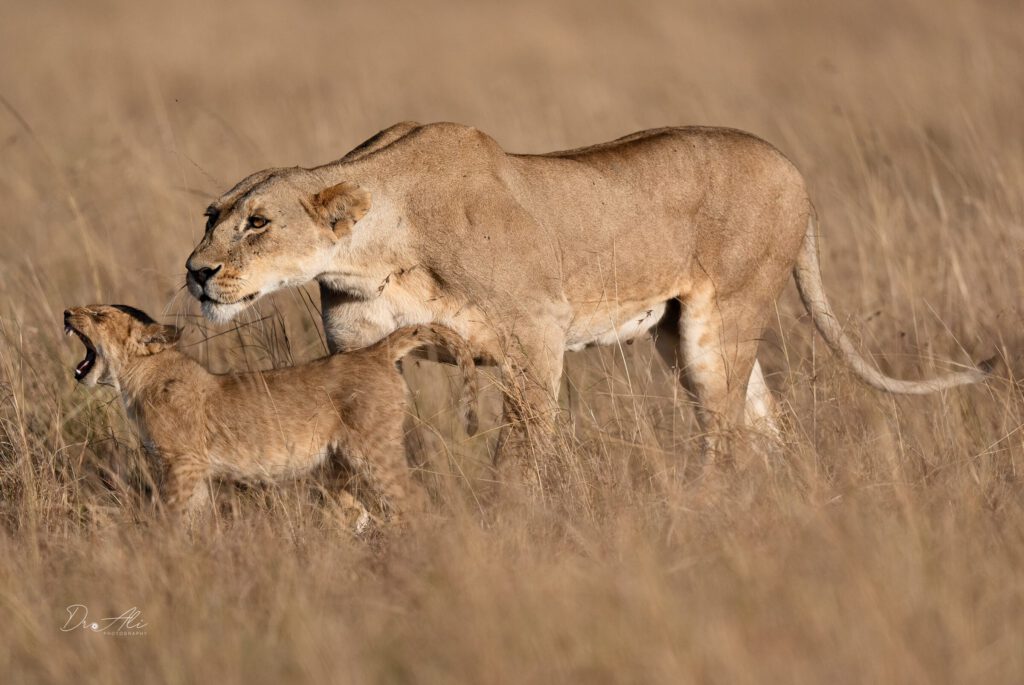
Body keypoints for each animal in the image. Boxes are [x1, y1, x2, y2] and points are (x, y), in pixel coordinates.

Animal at [63, 304, 478, 524]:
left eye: (98, 316)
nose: (67, 312)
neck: (139, 378)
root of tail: (375, 351)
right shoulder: (192, 470)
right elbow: (195, 514)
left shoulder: (183, 462)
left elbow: (171, 513)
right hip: (341, 463)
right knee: (357, 511)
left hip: (374, 450)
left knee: (413, 499)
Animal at [184, 121, 988, 464]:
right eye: (211, 217)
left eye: (258, 223)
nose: (196, 271)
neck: (374, 243)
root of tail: (788, 163)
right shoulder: (360, 347)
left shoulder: (536, 332)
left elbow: (522, 451)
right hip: (686, 333)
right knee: (765, 422)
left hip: (718, 325)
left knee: (724, 432)